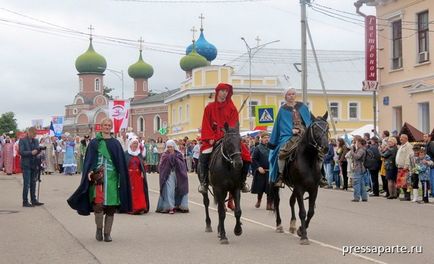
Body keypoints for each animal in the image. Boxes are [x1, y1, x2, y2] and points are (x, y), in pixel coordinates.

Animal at [272, 112, 330, 244]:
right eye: (315, 128)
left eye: (327, 128)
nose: (325, 148)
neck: (308, 160)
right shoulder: (300, 188)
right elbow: (302, 212)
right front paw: (304, 236)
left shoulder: (313, 189)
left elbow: (311, 212)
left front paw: (300, 229)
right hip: (274, 184)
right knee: (277, 202)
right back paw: (279, 225)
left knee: (291, 201)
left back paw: (292, 225)